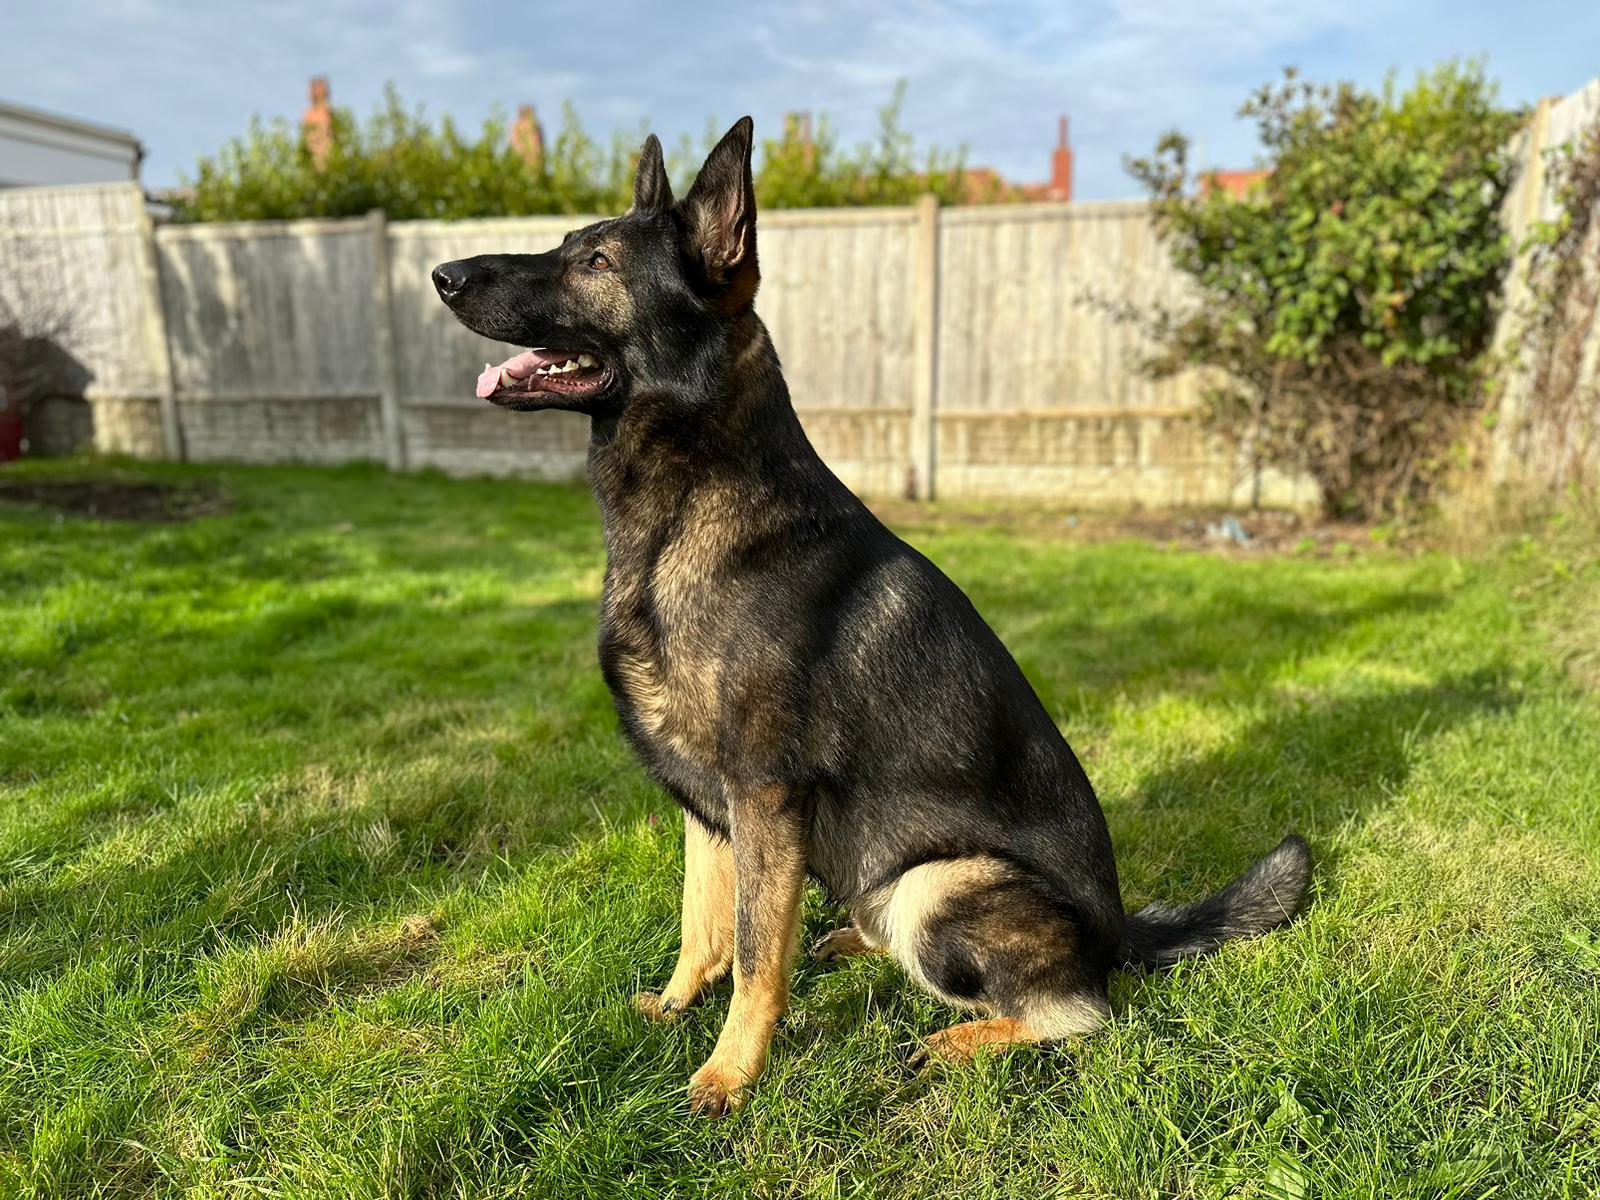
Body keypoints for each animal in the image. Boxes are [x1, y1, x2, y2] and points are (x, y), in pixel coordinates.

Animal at [432, 120, 1305, 1120]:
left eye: (597, 261)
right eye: (572, 244)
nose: (443, 274)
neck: (686, 512)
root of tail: (1122, 931)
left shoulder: (763, 795)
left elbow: (755, 956)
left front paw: (728, 1077)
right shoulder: (711, 809)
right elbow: (705, 926)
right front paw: (675, 1007)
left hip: (939, 886)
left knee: (1081, 1013)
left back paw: (955, 1041)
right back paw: (856, 943)